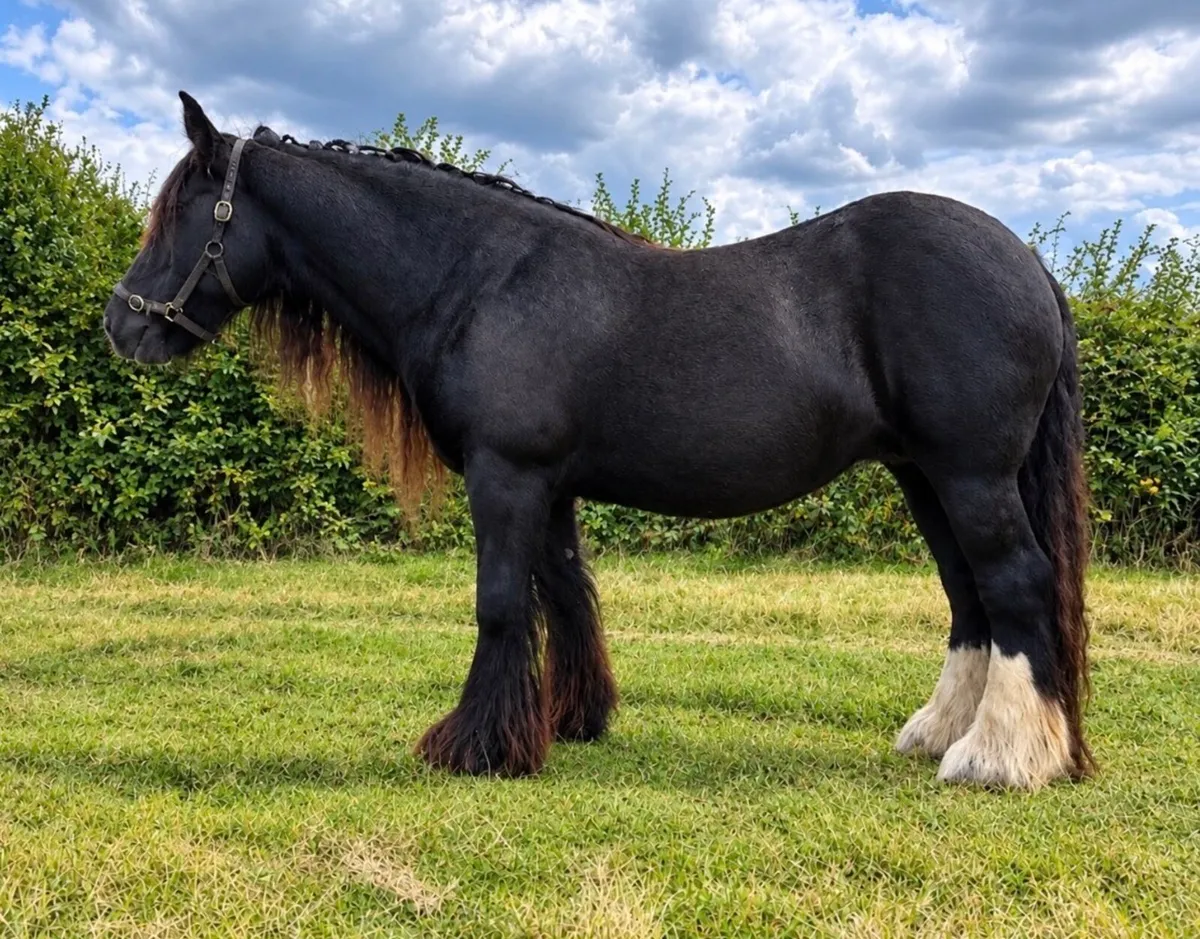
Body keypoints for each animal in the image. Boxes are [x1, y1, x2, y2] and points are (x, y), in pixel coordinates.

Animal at [103, 92, 1095, 790]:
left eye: (184, 212)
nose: (122, 323)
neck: (480, 278)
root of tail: (1028, 261)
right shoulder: (547, 486)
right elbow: (568, 594)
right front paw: (568, 720)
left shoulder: (506, 477)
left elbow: (503, 603)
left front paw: (474, 746)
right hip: (924, 476)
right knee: (970, 598)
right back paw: (942, 733)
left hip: (971, 476)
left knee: (1014, 582)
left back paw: (998, 758)